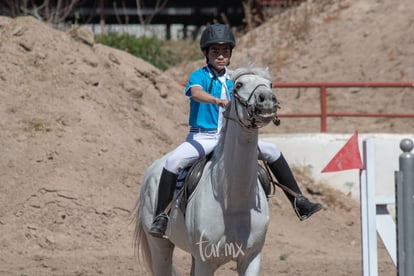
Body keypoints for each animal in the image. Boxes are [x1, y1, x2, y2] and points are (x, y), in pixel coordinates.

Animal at [134, 66, 280, 274]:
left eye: (270, 84)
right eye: (238, 85)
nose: (267, 99)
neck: (232, 201)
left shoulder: (251, 258)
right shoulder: (206, 260)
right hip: (160, 247)